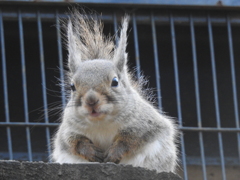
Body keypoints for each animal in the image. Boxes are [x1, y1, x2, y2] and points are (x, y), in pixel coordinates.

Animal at [52, 9, 178, 173]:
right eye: (72, 86)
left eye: (115, 82)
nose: (91, 101)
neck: (101, 123)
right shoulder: (69, 130)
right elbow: (73, 142)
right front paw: (90, 151)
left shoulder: (145, 124)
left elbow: (131, 139)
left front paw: (114, 153)